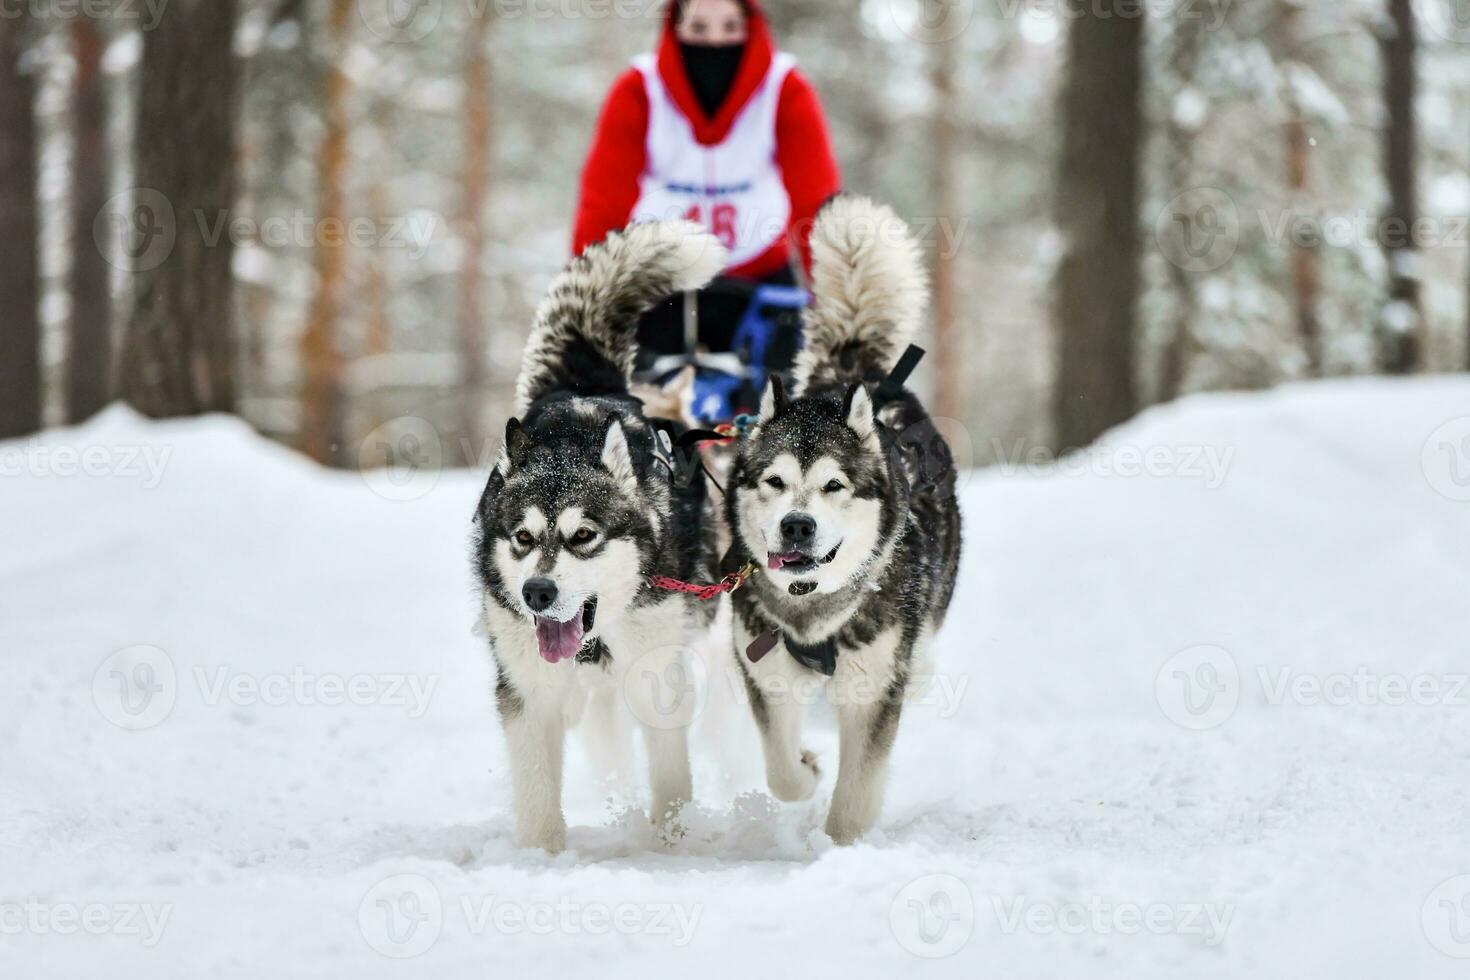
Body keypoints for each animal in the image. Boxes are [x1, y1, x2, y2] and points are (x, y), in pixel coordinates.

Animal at [473, 220, 726, 852]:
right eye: (521, 538)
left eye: (583, 535)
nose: (536, 593)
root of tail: (584, 388)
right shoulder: (529, 689)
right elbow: (538, 788)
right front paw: (541, 856)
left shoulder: (658, 675)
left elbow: (670, 773)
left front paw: (671, 841)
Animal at [726, 196, 964, 846]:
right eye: (774, 482)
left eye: (834, 485)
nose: (797, 526)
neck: (814, 612)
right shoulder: (764, 669)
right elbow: (782, 770)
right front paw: (806, 770)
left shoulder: (873, 686)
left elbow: (857, 794)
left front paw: (842, 846)